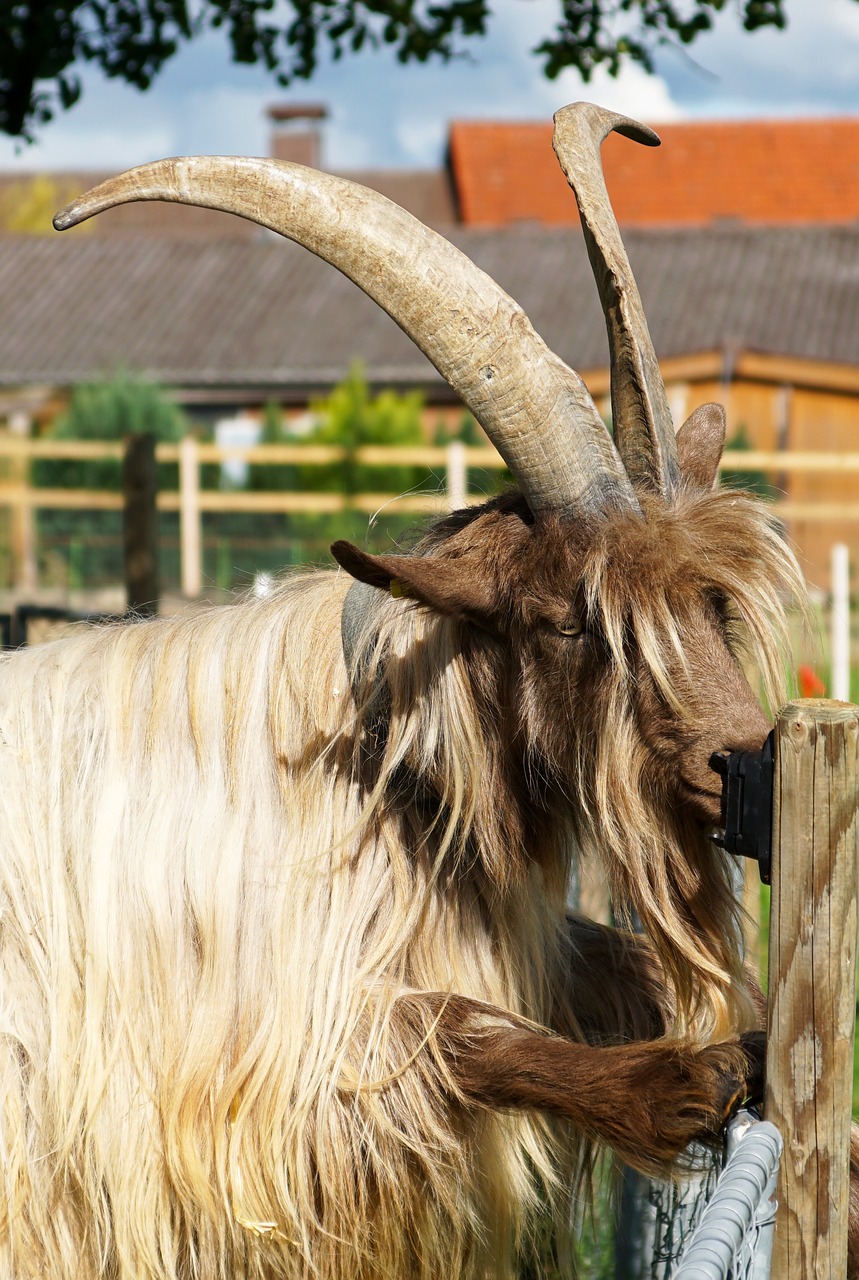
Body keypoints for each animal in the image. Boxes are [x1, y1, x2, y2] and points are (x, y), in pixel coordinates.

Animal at [0, 102, 820, 1279]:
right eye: (564, 621)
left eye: (709, 603)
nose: (742, 763)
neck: (369, 765)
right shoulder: (250, 1080)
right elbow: (451, 1028)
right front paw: (678, 1080)